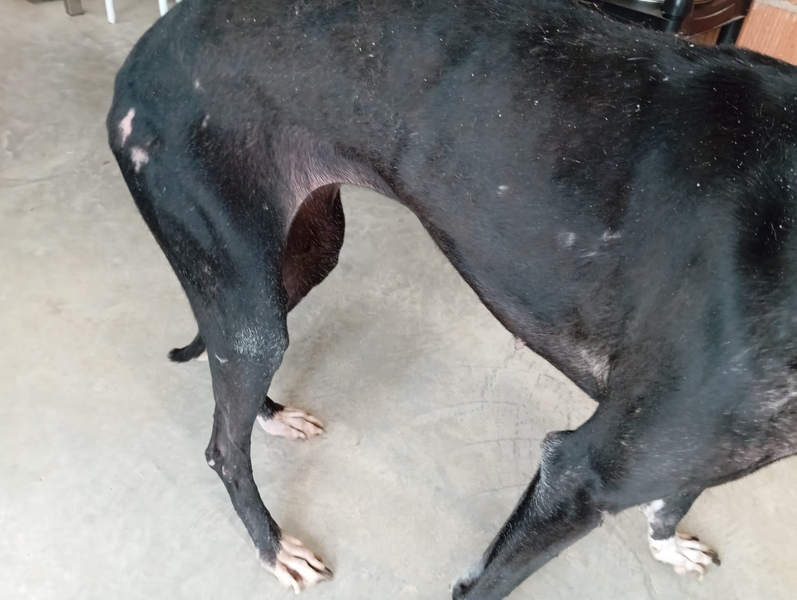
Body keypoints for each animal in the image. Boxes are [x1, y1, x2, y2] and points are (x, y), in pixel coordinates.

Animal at [107, 1, 797, 597]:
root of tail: (148, 48)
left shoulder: (684, 452)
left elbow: (674, 498)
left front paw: (669, 546)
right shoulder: (580, 475)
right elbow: (490, 580)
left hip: (293, 263)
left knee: (234, 383)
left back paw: (272, 416)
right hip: (245, 292)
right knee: (223, 446)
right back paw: (273, 546)